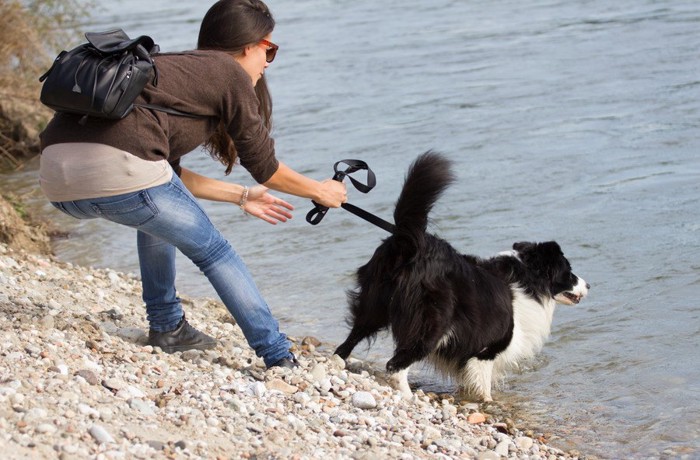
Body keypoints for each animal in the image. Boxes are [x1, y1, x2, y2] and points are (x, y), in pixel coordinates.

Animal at [336, 153, 588, 400]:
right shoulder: (488, 348)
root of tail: (409, 242)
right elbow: (483, 385)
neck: (526, 279)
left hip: (373, 304)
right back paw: (408, 395)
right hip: (430, 323)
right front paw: (486, 403)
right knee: (395, 365)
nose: (589, 285)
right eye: (568, 271)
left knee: (347, 343)